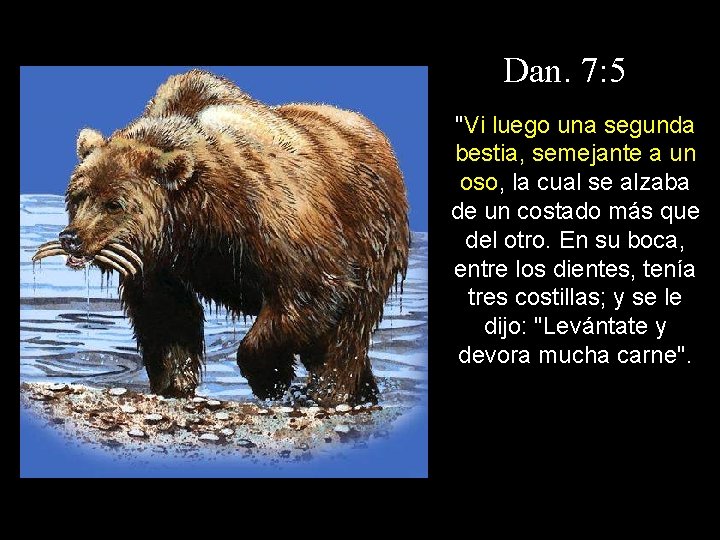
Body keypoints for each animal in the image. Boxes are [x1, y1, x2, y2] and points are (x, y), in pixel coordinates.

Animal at [33, 69, 410, 406]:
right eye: (79, 196)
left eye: (114, 203)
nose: (72, 237)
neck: (195, 222)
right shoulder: (162, 263)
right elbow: (166, 316)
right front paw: (175, 383)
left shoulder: (274, 224)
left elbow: (311, 289)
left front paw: (271, 378)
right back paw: (365, 389)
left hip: (372, 233)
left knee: (347, 334)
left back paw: (328, 393)